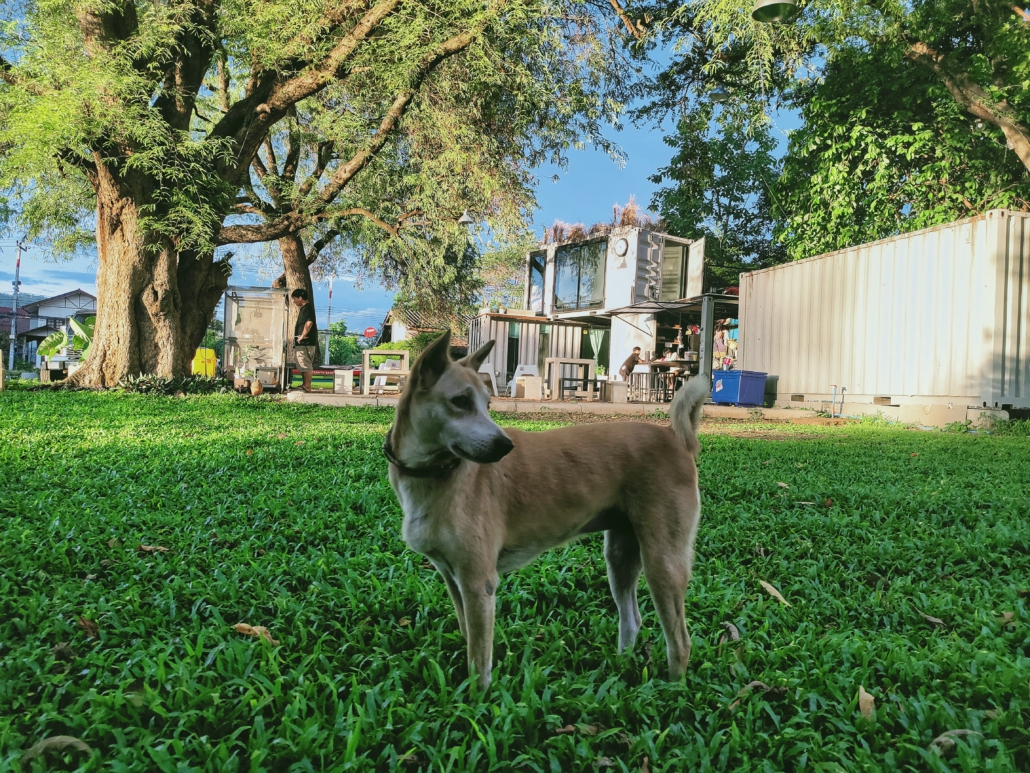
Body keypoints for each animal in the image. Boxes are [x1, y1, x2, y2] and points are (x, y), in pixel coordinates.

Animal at [387, 329, 708, 688]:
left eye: (488, 404)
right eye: (460, 402)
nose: (505, 446)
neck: (435, 475)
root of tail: (675, 437)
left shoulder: (478, 582)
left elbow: (479, 659)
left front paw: (477, 698)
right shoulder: (454, 579)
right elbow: (470, 640)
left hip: (662, 560)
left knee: (680, 640)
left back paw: (671, 688)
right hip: (621, 556)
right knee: (632, 618)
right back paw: (621, 664)